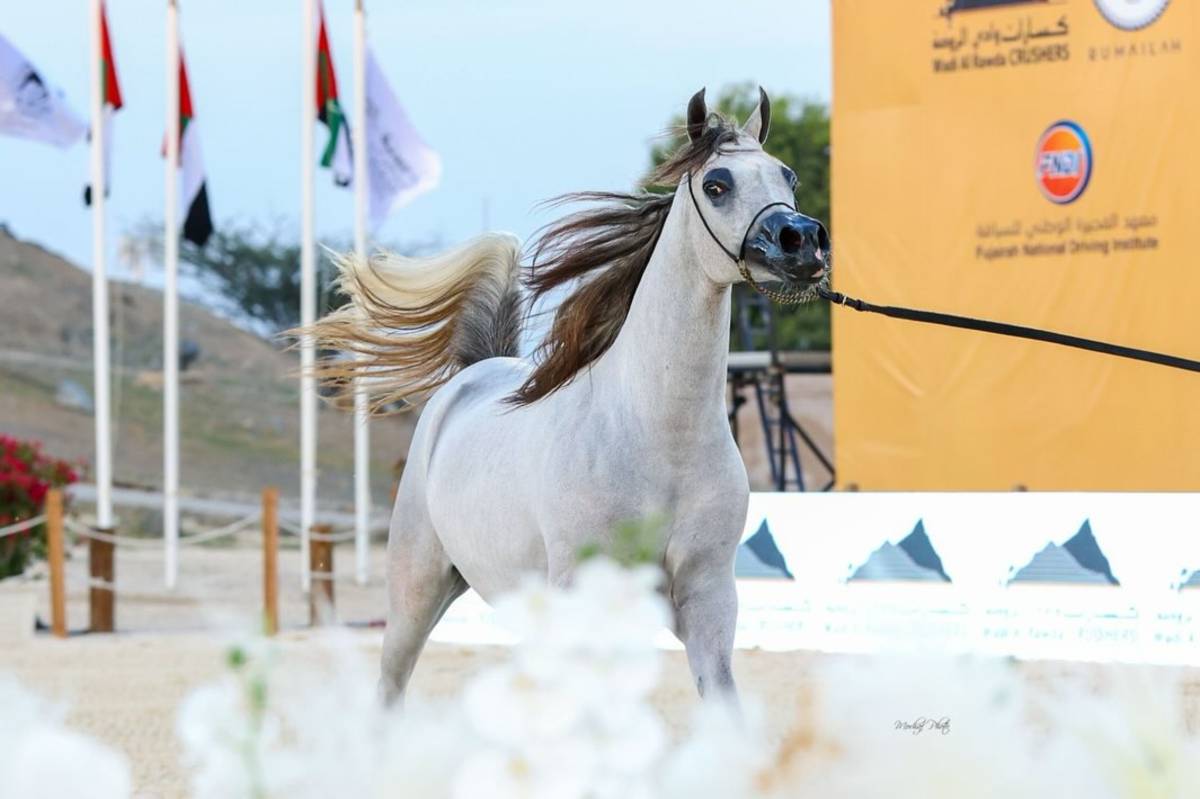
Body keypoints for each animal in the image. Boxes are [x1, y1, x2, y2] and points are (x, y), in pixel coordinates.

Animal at [304, 88, 830, 695]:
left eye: (788, 176)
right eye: (717, 184)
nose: (804, 243)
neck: (657, 434)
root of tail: (468, 378)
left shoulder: (708, 603)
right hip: (418, 587)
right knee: (391, 684)